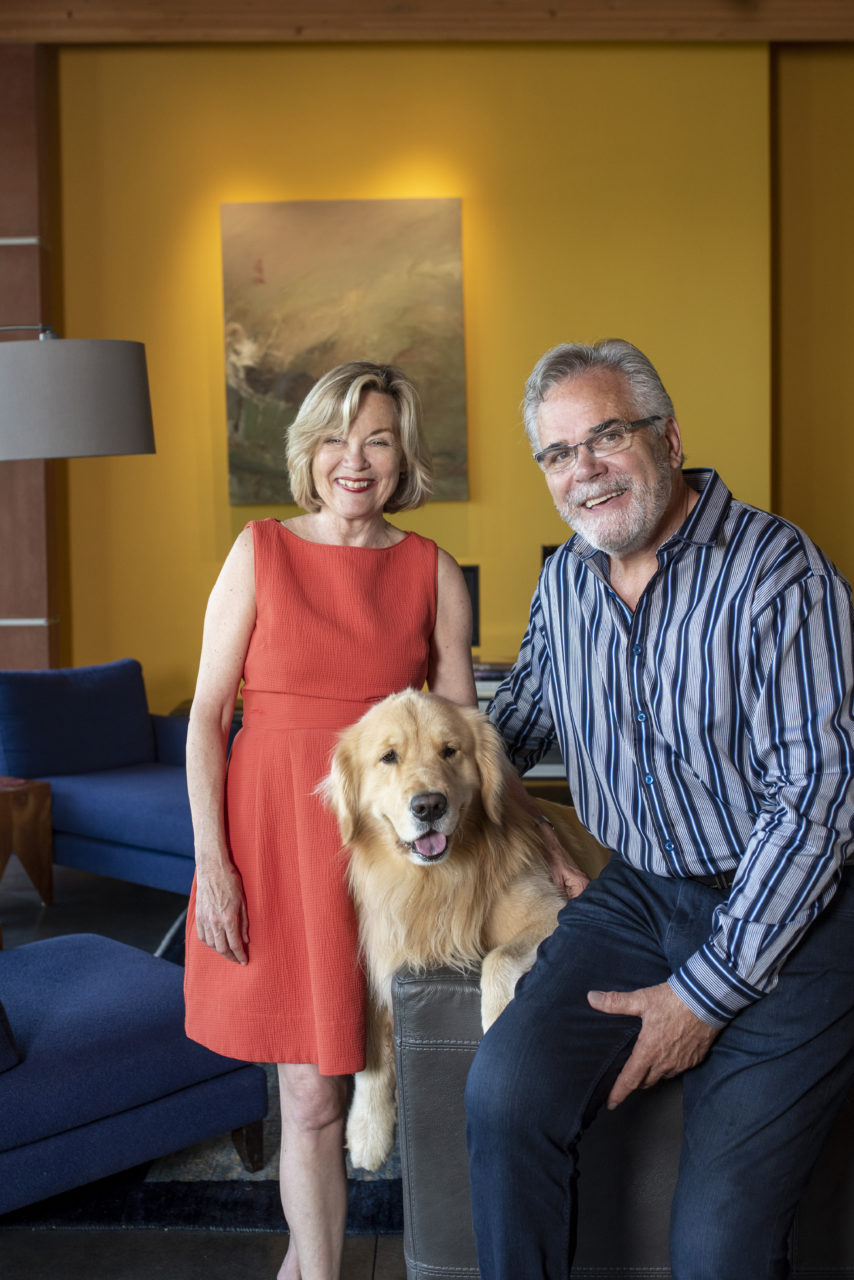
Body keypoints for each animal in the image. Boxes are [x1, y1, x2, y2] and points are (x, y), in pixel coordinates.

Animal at [320, 691, 606, 1172]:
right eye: (388, 757)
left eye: (450, 751)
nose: (429, 806)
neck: (435, 882)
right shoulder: (386, 960)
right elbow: (373, 1050)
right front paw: (367, 1131)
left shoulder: (554, 911)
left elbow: (498, 958)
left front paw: (495, 1022)